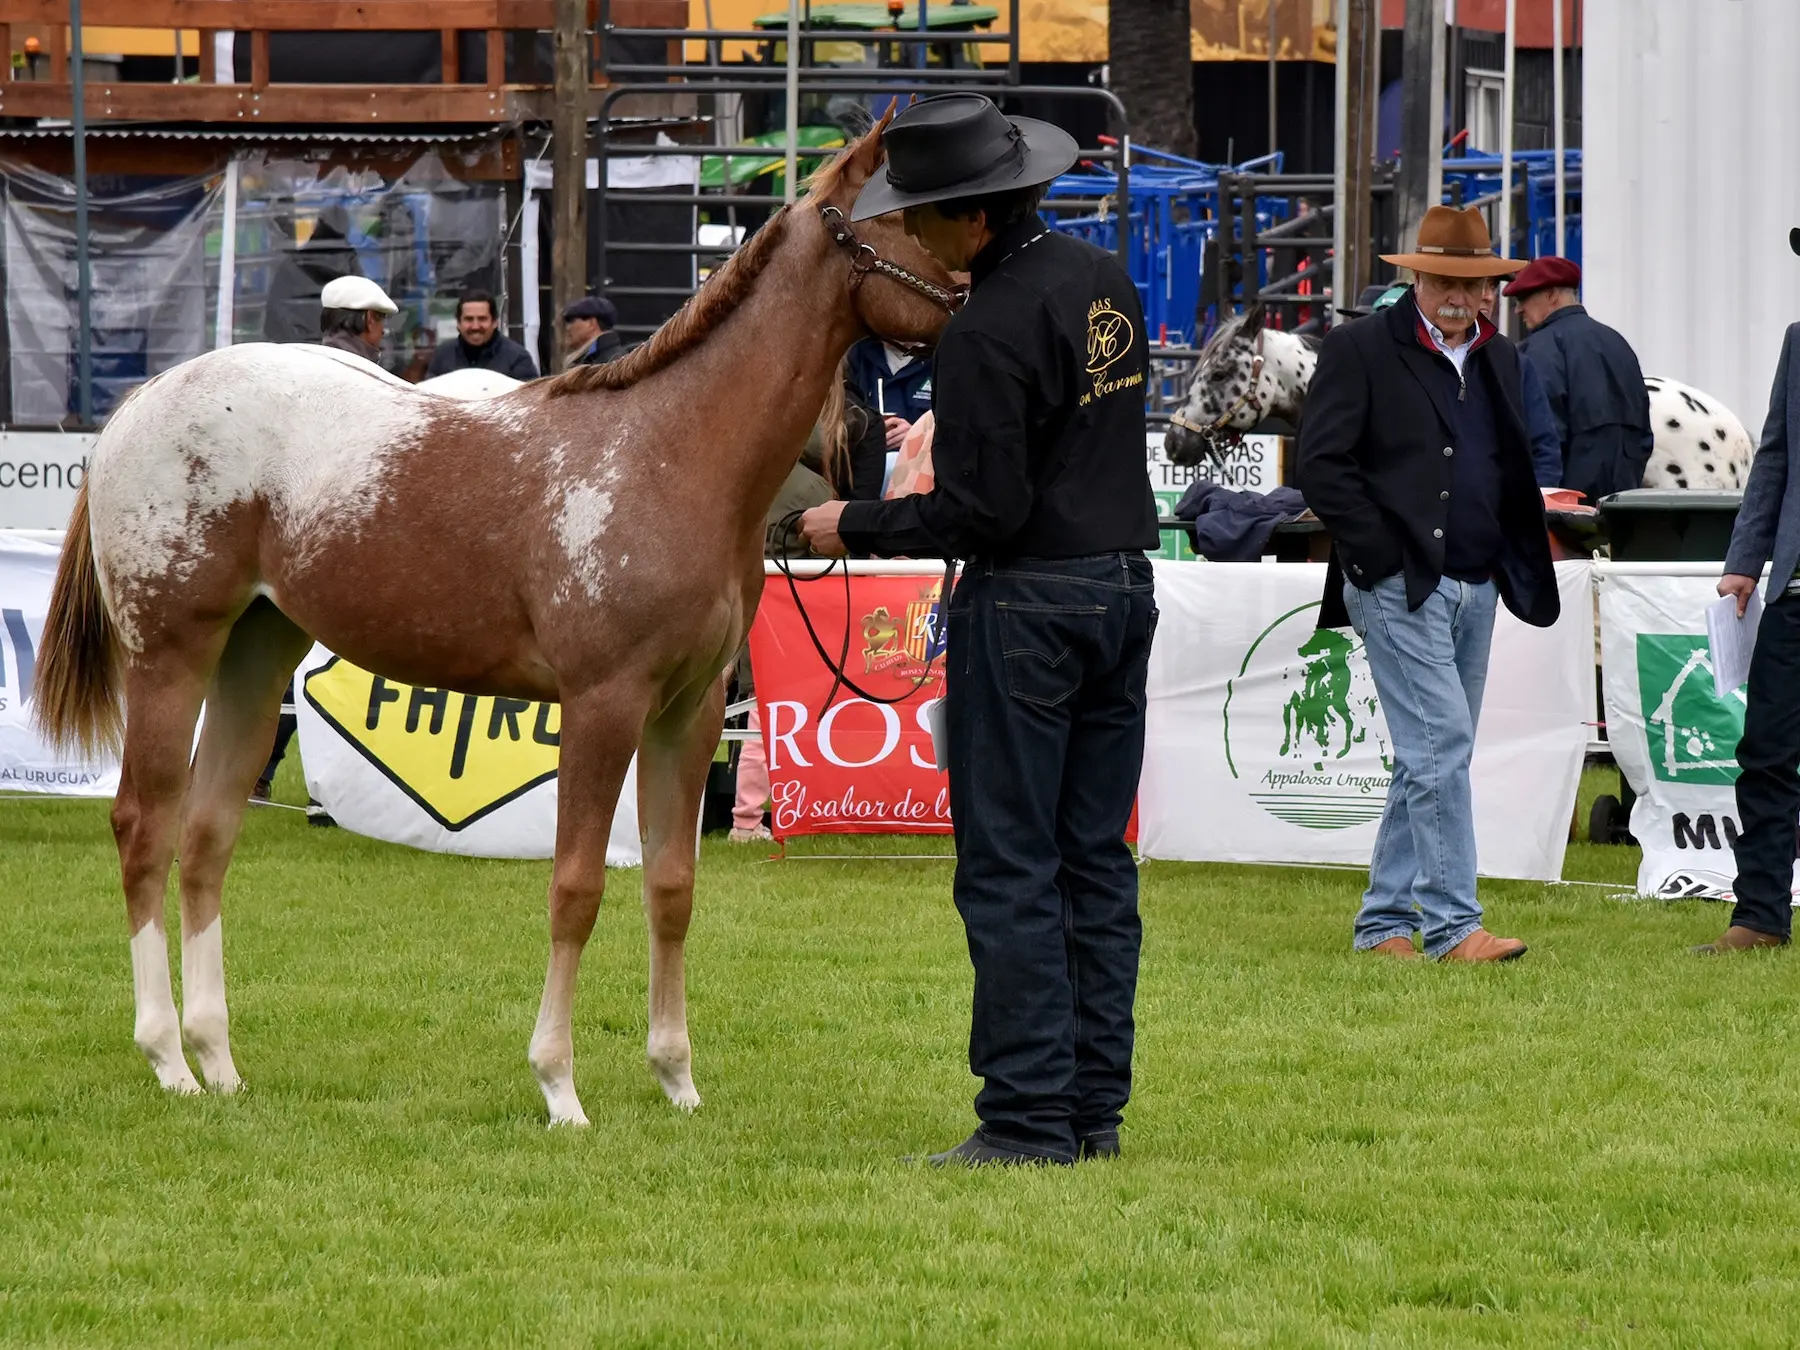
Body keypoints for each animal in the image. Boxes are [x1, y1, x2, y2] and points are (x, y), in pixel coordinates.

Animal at [31, 118, 957, 1130]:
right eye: (911, 217)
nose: (977, 298)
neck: (670, 453)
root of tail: (141, 403)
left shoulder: (694, 709)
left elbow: (672, 888)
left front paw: (677, 1079)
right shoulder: (604, 704)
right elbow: (577, 887)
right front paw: (560, 1087)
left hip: (254, 652)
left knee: (206, 837)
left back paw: (218, 1063)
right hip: (170, 653)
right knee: (143, 828)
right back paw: (166, 1059)